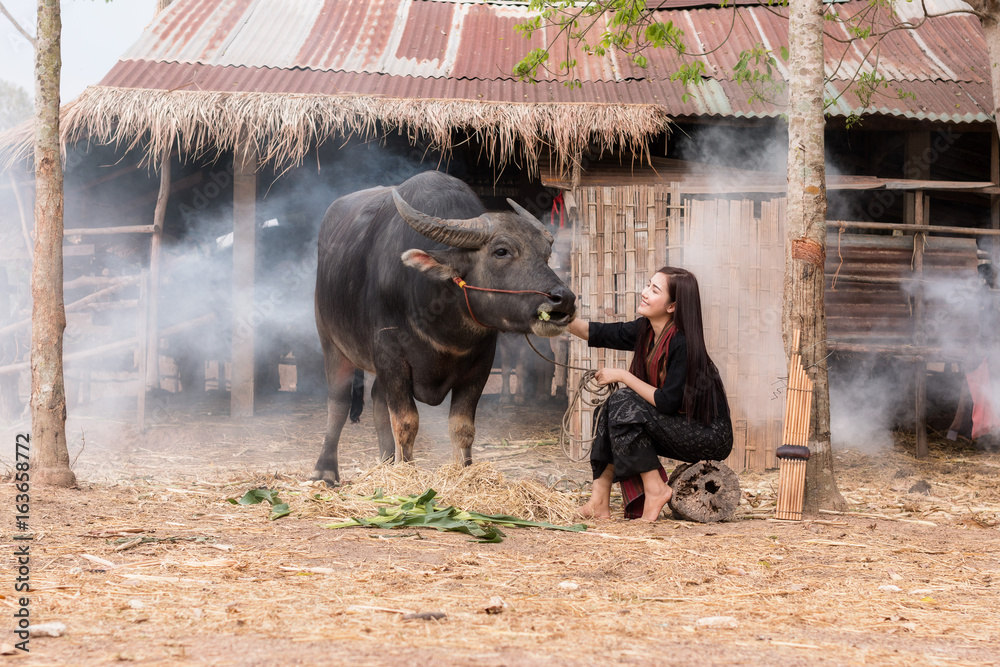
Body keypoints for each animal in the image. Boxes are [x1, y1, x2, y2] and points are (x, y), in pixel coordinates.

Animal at [312, 172, 580, 486]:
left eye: (546, 255)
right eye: (501, 251)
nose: (564, 299)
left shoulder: (480, 365)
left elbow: (462, 427)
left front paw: (463, 472)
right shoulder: (390, 355)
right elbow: (406, 422)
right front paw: (407, 475)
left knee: (377, 398)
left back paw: (387, 461)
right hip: (331, 341)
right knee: (339, 402)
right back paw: (325, 470)